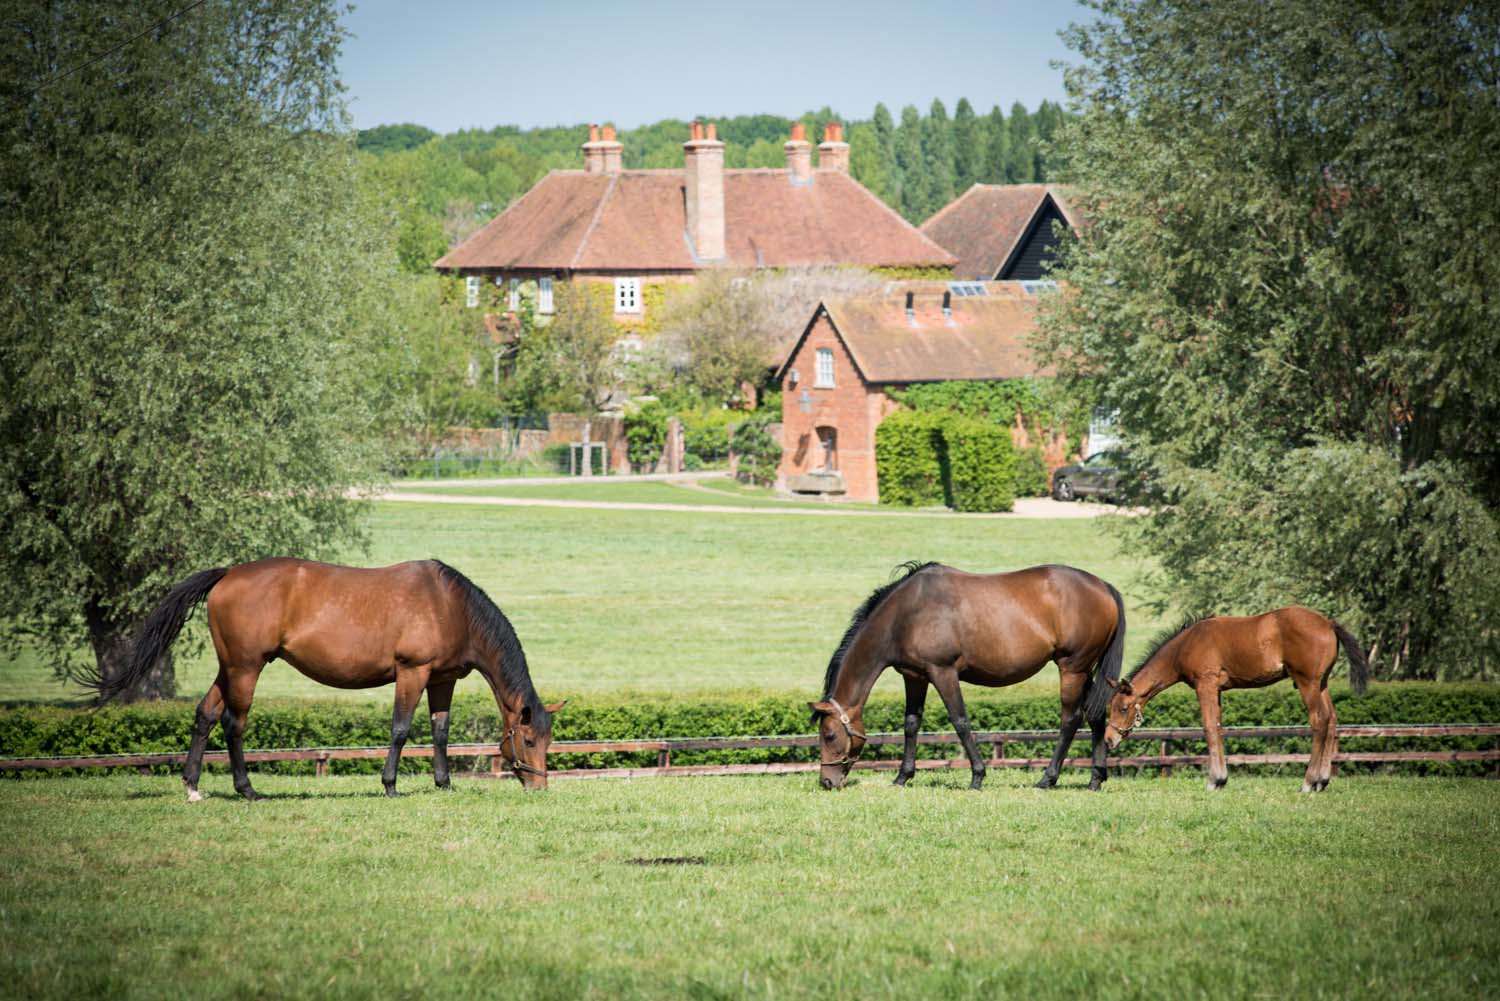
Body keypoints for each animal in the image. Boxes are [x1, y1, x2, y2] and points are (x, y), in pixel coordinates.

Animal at [95, 561, 564, 804]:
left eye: (548, 740)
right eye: (527, 739)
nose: (539, 785)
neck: (449, 604)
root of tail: (229, 573)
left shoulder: (441, 679)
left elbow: (441, 732)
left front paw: (444, 783)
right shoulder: (412, 672)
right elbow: (400, 729)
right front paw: (390, 785)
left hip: (229, 668)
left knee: (205, 714)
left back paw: (192, 786)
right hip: (245, 669)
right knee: (233, 723)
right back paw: (247, 789)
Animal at [810, 564, 1128, 792]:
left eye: (829, 734)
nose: (827, 781)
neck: (907, 613)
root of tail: (1103, 587)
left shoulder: (943, 672)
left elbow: (960, 721)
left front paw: (977, 776)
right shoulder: (915, 677)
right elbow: (911, 724)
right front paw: (902, 777)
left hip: (1072, 669)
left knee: (1070, 720)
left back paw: (1047, 779)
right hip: (1085, 671)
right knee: (1095, 716)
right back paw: (1095, 779)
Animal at [1098, 606, 1368, 792]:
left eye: (1123, 709)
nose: (1109, 739)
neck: (1186, 644)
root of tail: (1329, 623)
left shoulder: (1206, 684)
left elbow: (1208, 727)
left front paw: (1214, 780)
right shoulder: (1217, 689)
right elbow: (1218, 727)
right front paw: (1221, 780)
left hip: (1307, 682)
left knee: (1319, 720)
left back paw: (1309, 782)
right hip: (1322, 683)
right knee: (1332, 719)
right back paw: (1323, 781)